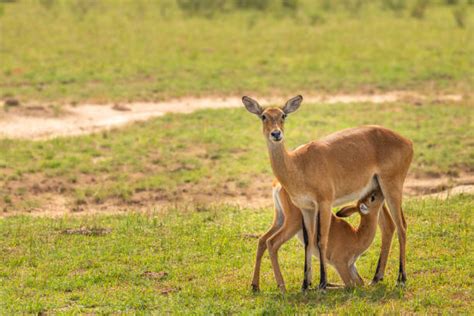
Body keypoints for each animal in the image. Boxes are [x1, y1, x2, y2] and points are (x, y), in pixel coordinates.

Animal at [243, 95, 412, 292]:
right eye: (263, 116)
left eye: (283, 115)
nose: (276, 134)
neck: (298, 165)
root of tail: (407, 141)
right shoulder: (307, 208)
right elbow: (309, 241)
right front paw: (305, 285)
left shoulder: (324, 203)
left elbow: (321, 239)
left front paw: (322, 283)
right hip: (378, 192)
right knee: (388, 227)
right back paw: (376, 277)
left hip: (392, 188)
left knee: (402, 226)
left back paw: (401, 278)